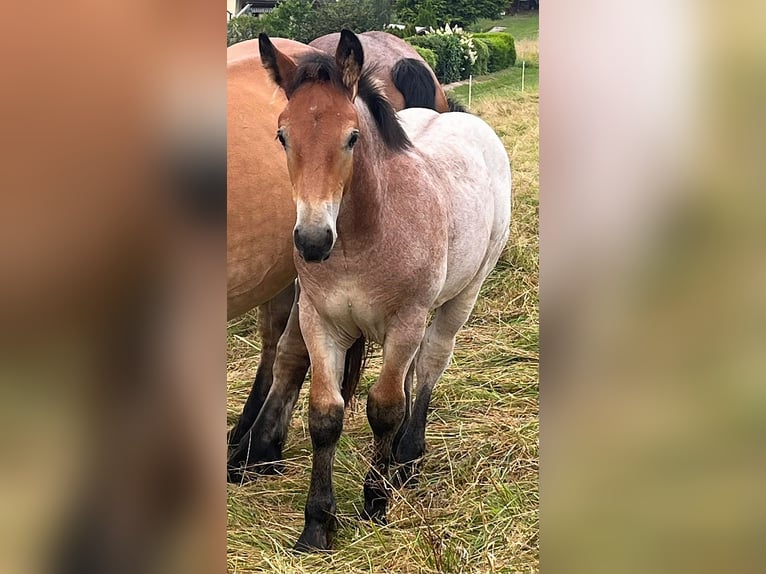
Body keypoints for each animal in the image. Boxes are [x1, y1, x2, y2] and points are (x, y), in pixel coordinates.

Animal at [255, 32, 512, 552]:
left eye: (352, 137)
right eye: (282, 136)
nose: (313, 241)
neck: (361, 239)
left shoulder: (405, 321)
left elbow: (385, 409)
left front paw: (374, 503)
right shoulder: (320, 321)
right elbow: (325, 415)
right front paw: (317, 525)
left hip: (460, 297)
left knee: (431, 361)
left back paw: (408, 457)